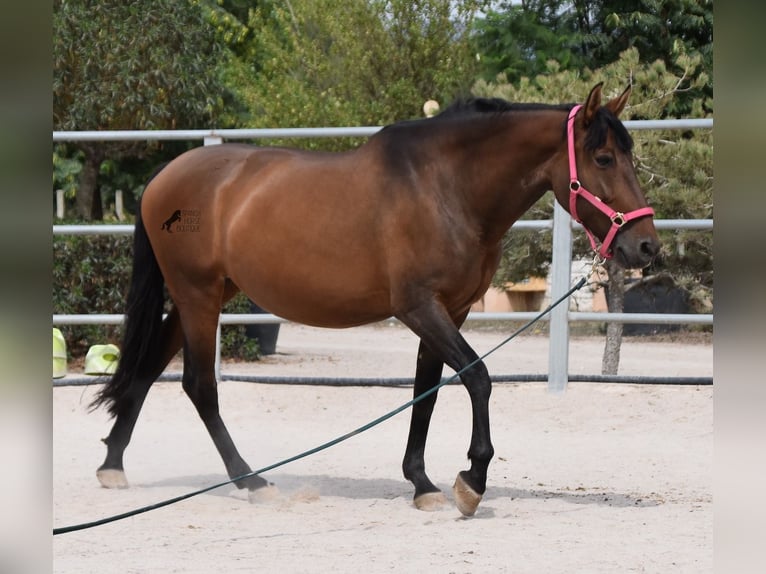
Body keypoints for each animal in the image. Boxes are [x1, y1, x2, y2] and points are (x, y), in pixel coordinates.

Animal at [91, 83, 660, 520]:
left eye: (630, 156)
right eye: (604, 157)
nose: (646, 246)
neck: (444, 187)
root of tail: (163, 177)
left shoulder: (449, 310)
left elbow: (427, 393)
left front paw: (423, 485)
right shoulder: (419, 308)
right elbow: (477, 377)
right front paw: (471, 481)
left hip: (203, 294)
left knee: (148, 368)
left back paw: (113, 465)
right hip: (198, 294)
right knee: (199, 386)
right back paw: (252, 481)